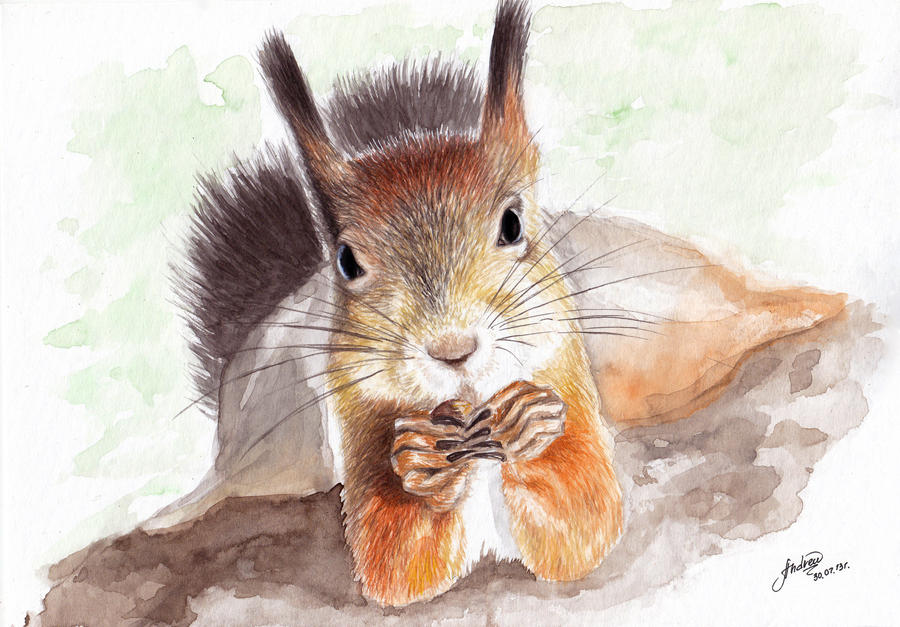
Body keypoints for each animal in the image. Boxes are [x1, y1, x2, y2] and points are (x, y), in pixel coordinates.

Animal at [181, 0, 623, 607]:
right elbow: (396, 563)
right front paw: (419, 464)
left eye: (513, 223)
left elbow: (585, 524)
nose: (453, 350)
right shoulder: (362, 419)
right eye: (346, 260)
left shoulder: (565, 374)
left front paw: (528, 427)